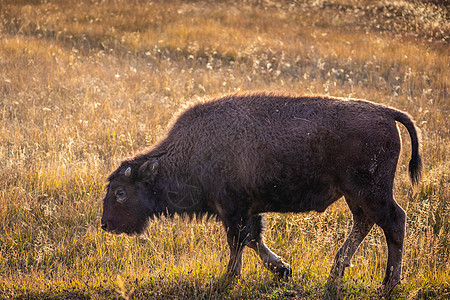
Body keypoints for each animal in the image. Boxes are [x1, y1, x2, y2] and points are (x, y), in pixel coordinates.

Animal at [100, 92, 420, 292]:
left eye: (120, 192)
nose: (105, 224)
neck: (190, 149)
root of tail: (386, 113)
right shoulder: (246, 209)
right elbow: (253, 239)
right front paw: (283, 269)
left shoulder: (232, 208)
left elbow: (239, 241)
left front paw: (228, 278)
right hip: (355, 195)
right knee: (365, 223)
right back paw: (336, 274)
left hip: (370, 192)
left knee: (394, 222)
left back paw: (388, 283)